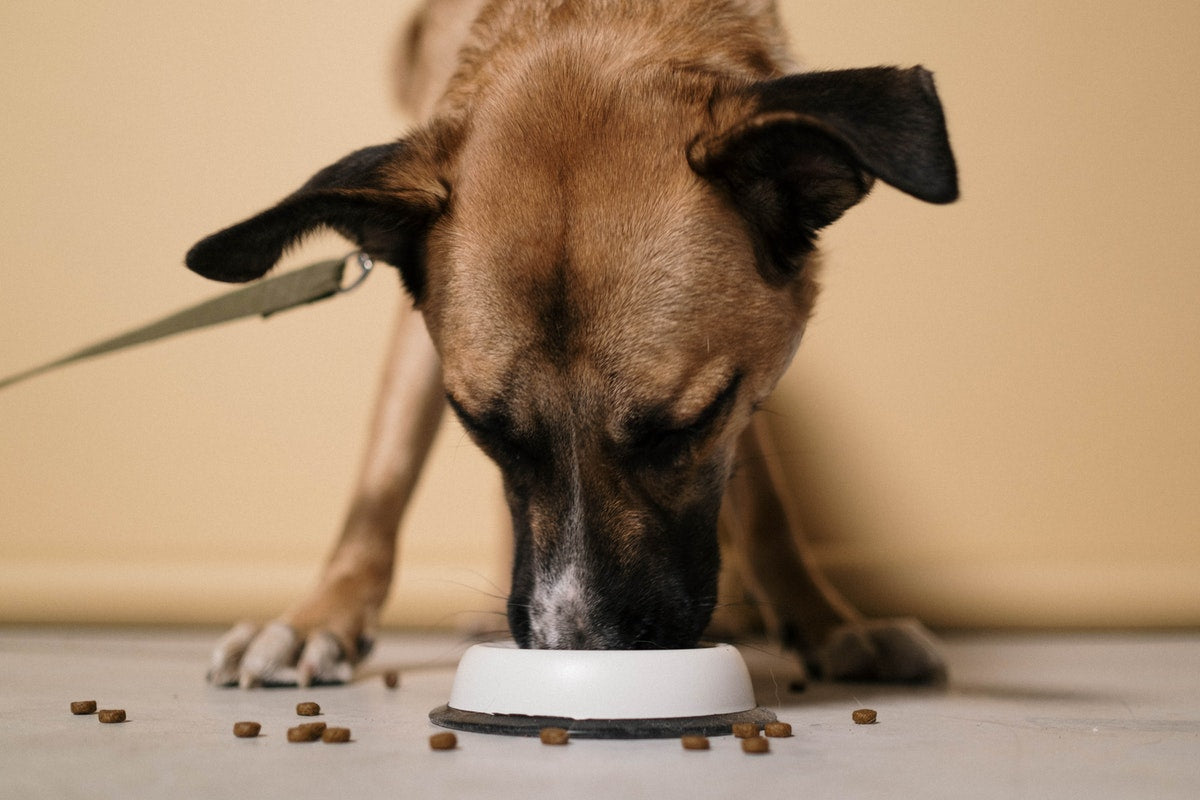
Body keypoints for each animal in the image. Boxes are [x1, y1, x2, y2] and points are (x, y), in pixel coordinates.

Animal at [184, 0, 955, 690]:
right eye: (484, 429)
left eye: (685, 428)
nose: (579, 649)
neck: (590, 20)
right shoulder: (418, 328)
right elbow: (383, 478)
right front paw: (319, 618)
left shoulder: (746, 380)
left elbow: (765, 505)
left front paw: (827, 622)